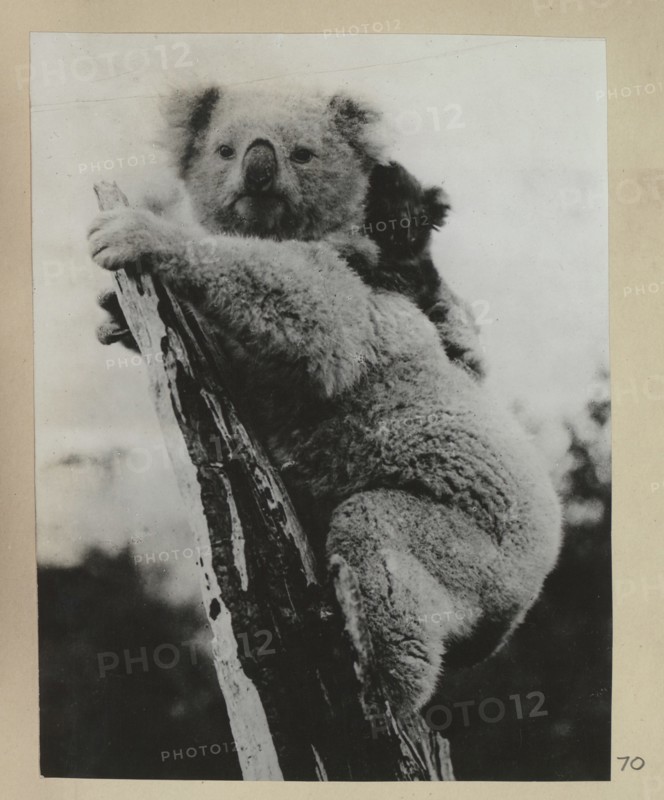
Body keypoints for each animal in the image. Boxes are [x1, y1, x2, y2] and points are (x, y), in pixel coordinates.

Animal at [88, 84, 562, 714]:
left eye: (303, 153)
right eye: (224, 149)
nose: (258, 172)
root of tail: (508, 622)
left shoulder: (358, 298)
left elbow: (314, 317)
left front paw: (137, 232)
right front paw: (112, 318)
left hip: (472, 554)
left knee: (381, 544)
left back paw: (378, 675)